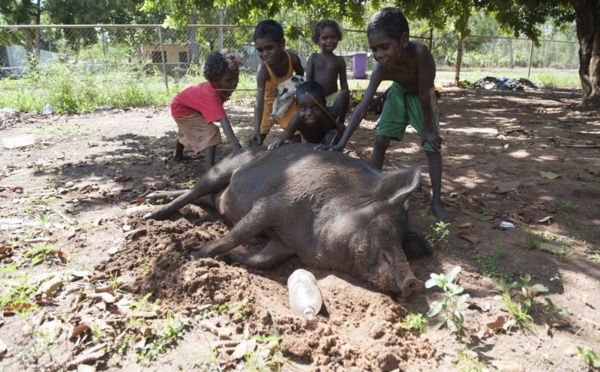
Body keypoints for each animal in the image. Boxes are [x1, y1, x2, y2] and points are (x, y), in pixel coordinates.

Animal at [145, 144, 432, 298]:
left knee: (200, 197)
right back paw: (151, 213)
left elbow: (262, 260)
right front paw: (193, 254)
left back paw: (149, 199)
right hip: (221, 170)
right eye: (388, 226)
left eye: (404, 245)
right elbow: (237, 234)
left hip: (216, 197)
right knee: (193, 190)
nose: (415, 283)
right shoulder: (272, 204)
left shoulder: (284, 246)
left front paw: (229, 259)